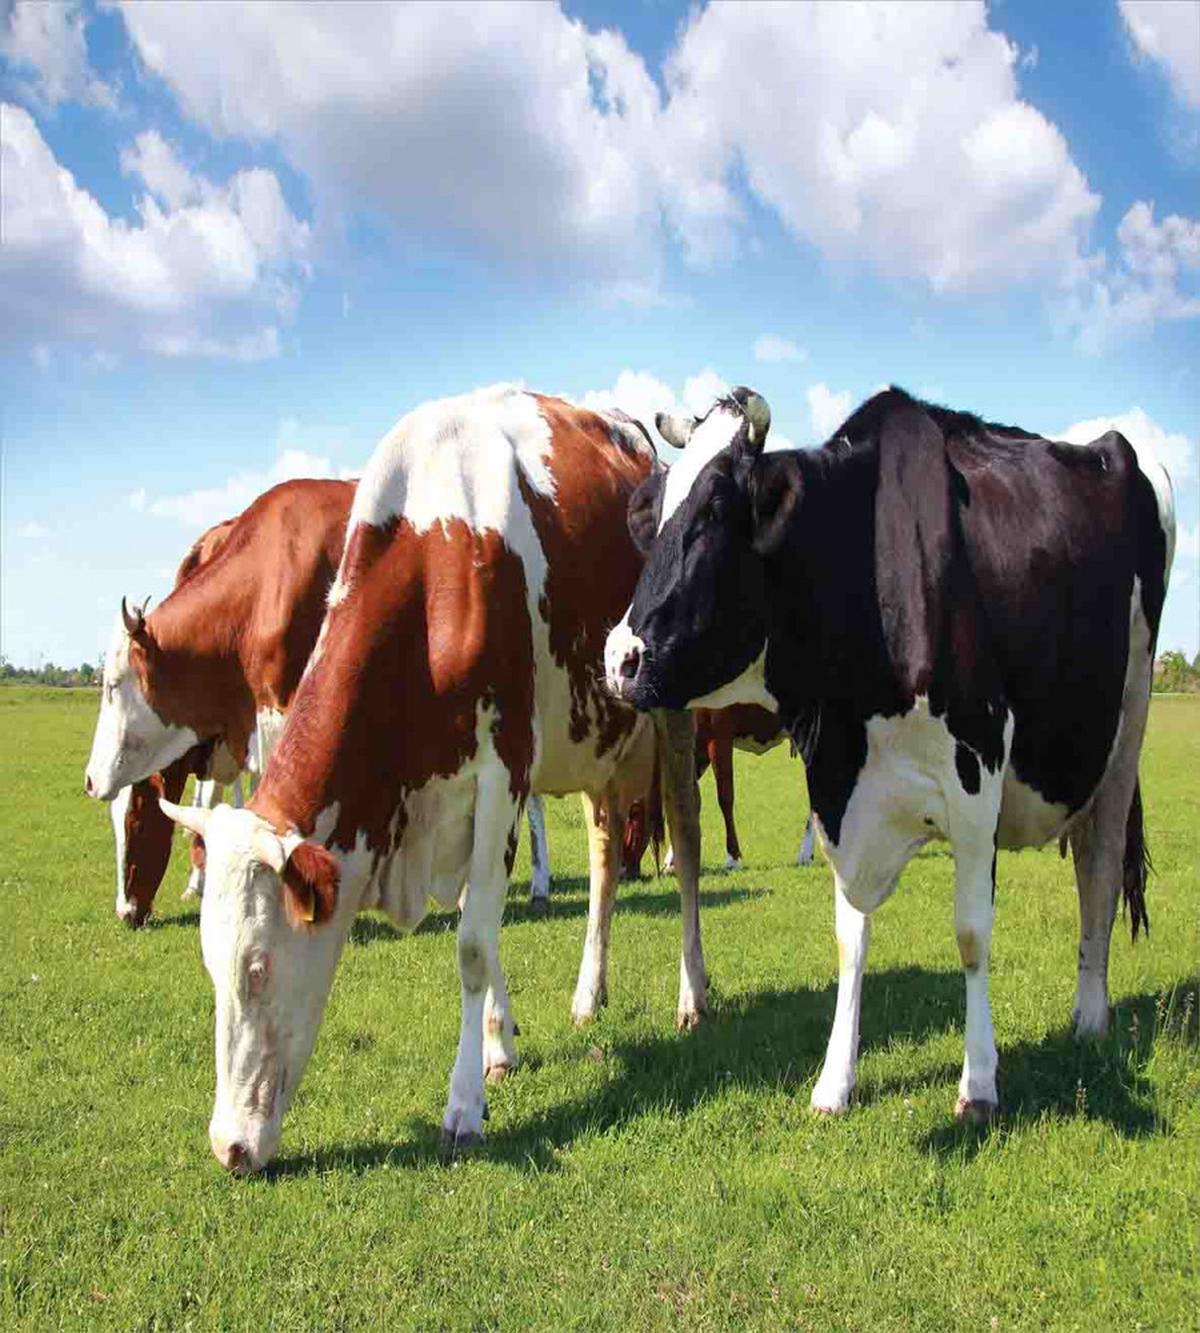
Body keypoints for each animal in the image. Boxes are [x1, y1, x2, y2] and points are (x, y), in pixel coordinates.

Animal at [118, 385, 701, 1171]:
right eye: (212, 967)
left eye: (258, 968)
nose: (227, 1145)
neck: (439, 557)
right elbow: (481, 926)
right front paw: (499, 1044)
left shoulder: (502, 773)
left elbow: (474, 945)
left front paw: (465, 1103)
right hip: (593, 743)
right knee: (608, 858)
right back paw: (589, 993)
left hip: (674, 717)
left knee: (688, 848)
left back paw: (693, 995)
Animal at [606, 385, 1175, 1122]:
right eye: (660, 518)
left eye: (714, 513)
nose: (619, 659)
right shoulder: (840, 791)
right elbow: (851, 938)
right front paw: (834, 1081)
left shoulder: (978, 773)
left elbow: (971, 933)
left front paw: (979, 1083)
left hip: (1127, 725)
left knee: (1100, 868)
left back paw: (1090, 1015)